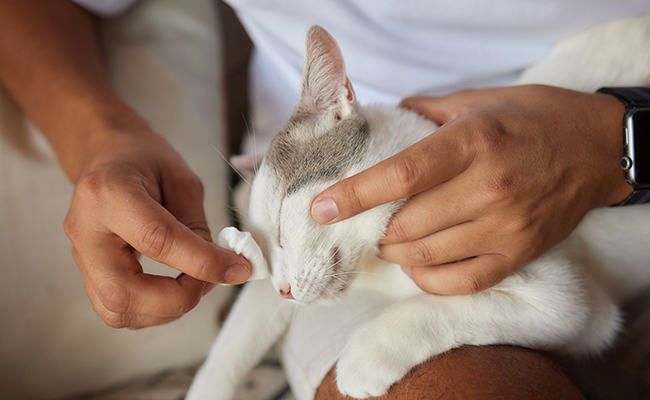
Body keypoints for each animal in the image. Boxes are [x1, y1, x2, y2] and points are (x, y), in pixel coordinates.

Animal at [186, 16, 648, 400]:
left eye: (282, 221)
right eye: (262, 248)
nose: (283, 289)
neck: (377, 266)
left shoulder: (572, 304)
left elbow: (446, 308)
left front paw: (364, 359)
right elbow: (232, 344)